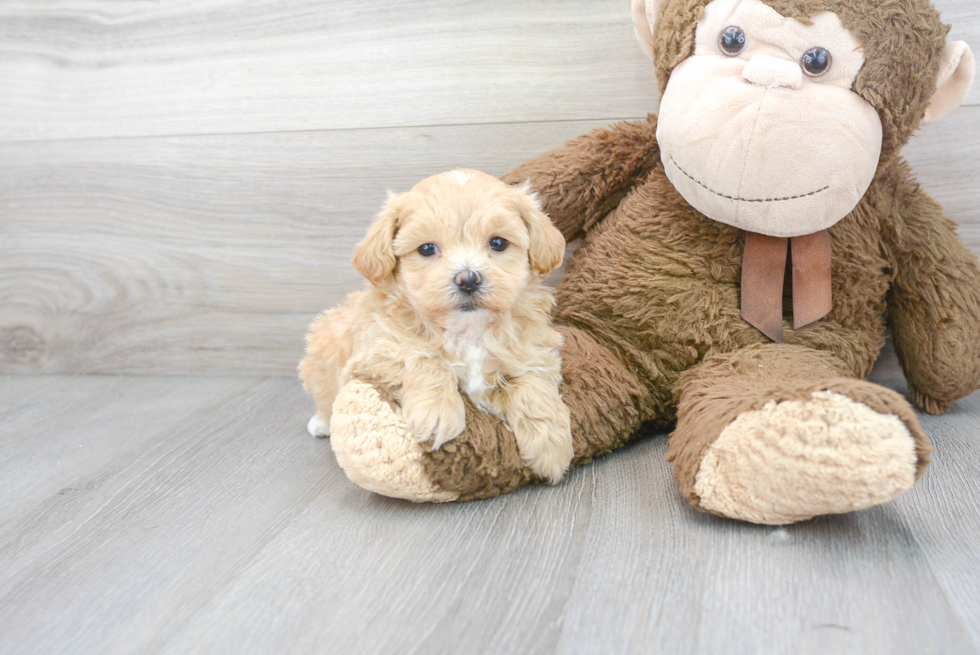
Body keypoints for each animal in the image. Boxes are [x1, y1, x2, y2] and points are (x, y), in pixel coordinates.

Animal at [298, 172, 576, 484]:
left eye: (498, 243)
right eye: (427, 249)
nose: (468, 279)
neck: (467, 331)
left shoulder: (533, 347)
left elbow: (532, 383)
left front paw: (550, 446)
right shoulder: (377, 348)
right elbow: (422, 355)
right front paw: (436, 413)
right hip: (322, 351)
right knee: (324, 396)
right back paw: (321, 422)